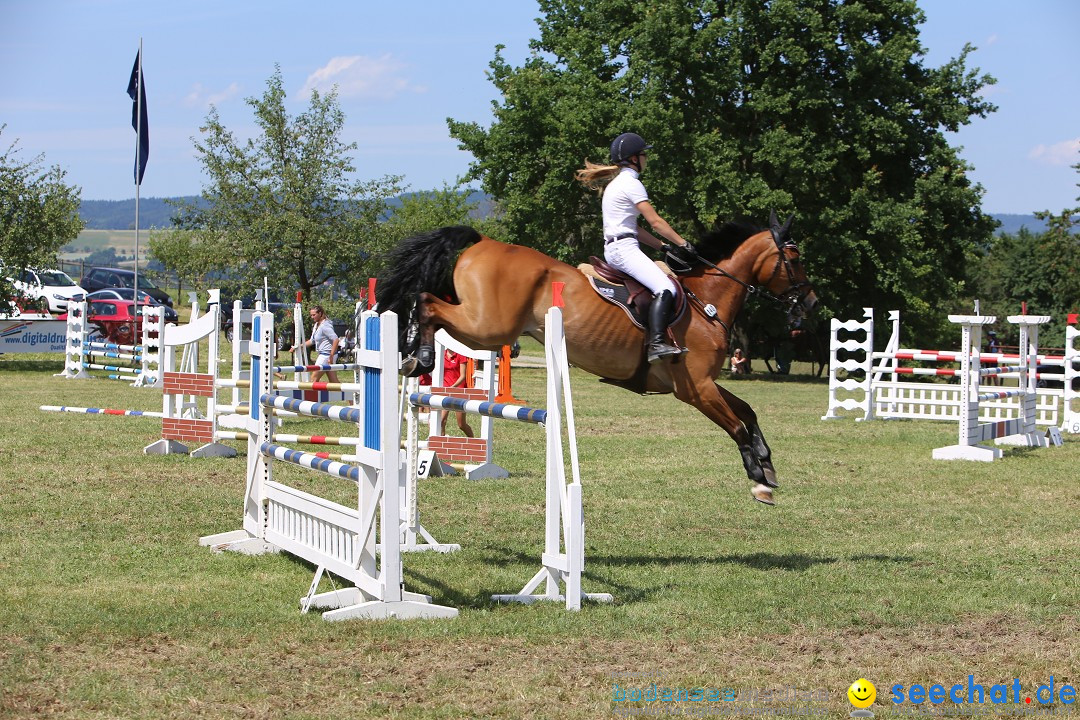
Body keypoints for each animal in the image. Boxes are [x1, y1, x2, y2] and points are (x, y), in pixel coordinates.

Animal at [378, 211, 816, 505]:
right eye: (794, 258)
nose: (810, 303)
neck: (704, 300)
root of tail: (484, 240)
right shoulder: (695, 390)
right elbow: (736, 425)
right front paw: (758, 480)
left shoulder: (707, 383)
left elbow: (748, 411)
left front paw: (767, 463)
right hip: (487, 326)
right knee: (427, 301)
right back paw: (418, 355)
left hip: (481, 326)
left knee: (432, 304)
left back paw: (417, 356)